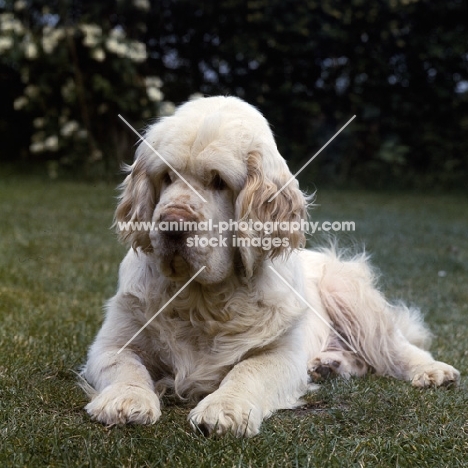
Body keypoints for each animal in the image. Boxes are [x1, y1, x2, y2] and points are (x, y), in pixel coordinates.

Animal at [81, 97, 460, 436]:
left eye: (219, 181)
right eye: (166, 176)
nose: (172, 224)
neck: (202, 300)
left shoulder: (281, 353)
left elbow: (247, 370)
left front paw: (224, 409)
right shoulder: (112, 343)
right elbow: (126, 367)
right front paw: (125, 400)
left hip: (350, 297)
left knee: (392, 347)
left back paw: (432, 370)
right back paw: (329, 366)